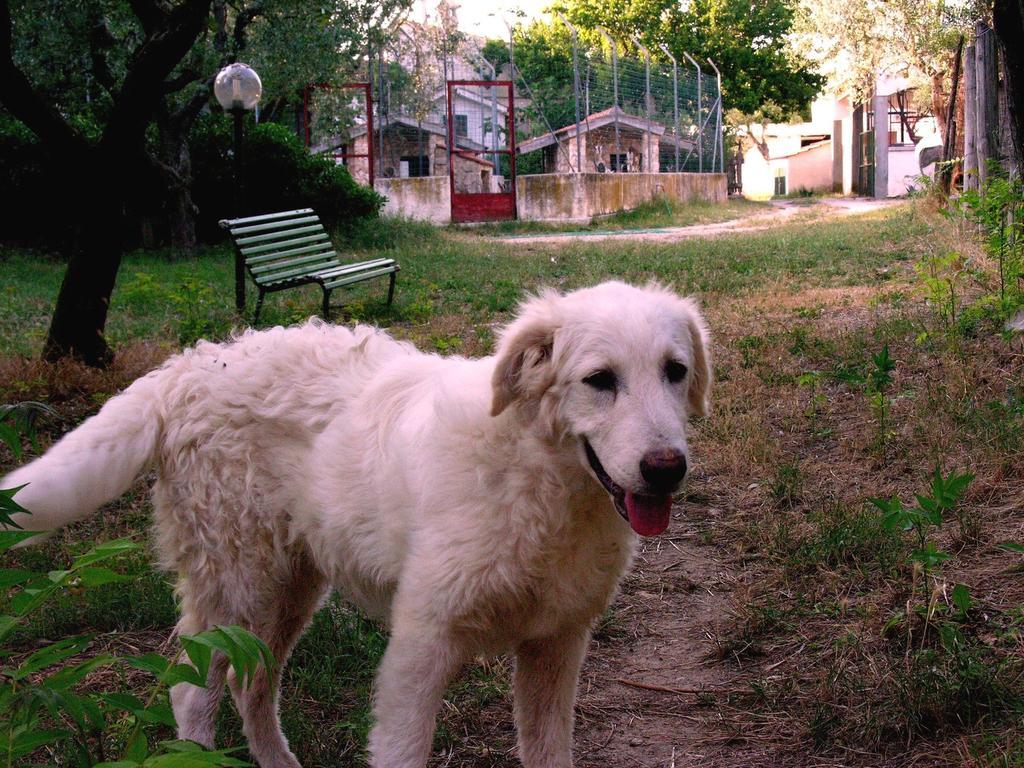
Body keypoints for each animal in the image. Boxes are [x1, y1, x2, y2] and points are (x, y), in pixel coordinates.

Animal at [6, 282, 712, 768]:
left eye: (675, 372)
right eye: (600, 381)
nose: (666, 469)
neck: (536, 480)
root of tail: (185, 368)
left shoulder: (555, 646)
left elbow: (547, 752)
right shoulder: (421, 644)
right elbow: (401, 750)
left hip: (288, 591)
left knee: (250, 687)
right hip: (239, 587)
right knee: (193, 694)